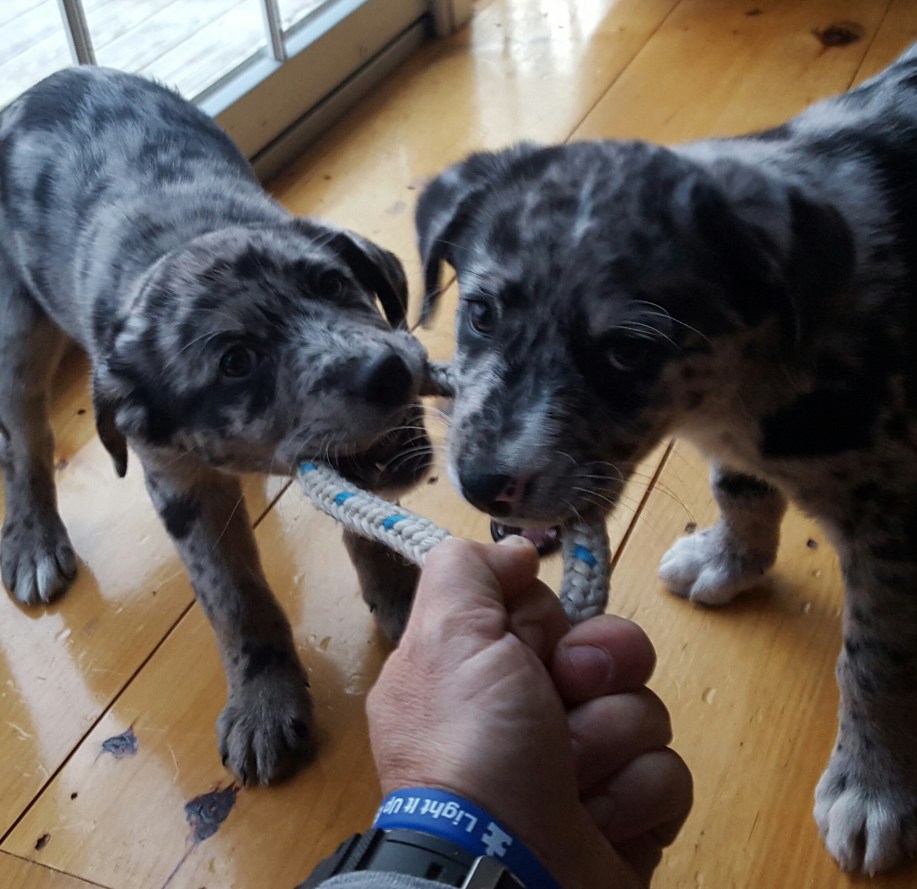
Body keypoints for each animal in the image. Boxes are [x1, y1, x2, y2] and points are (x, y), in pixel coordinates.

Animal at [0, 67, 431, 785]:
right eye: (236, 362)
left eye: (335, 284)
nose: (387, 372)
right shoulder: (175, 482)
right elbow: (233, 593)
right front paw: (264, 701)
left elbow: (367, 518)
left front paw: (401, 596)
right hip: (15, 332)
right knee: (26, 442)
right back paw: (33, 540)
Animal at [415, 43, 917, 875]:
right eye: (480, 312)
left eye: (627, 351)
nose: (483, 486)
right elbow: (737, 488)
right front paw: (729, 561)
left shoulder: (891, 511)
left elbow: (875, 655)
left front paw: (873, 787)